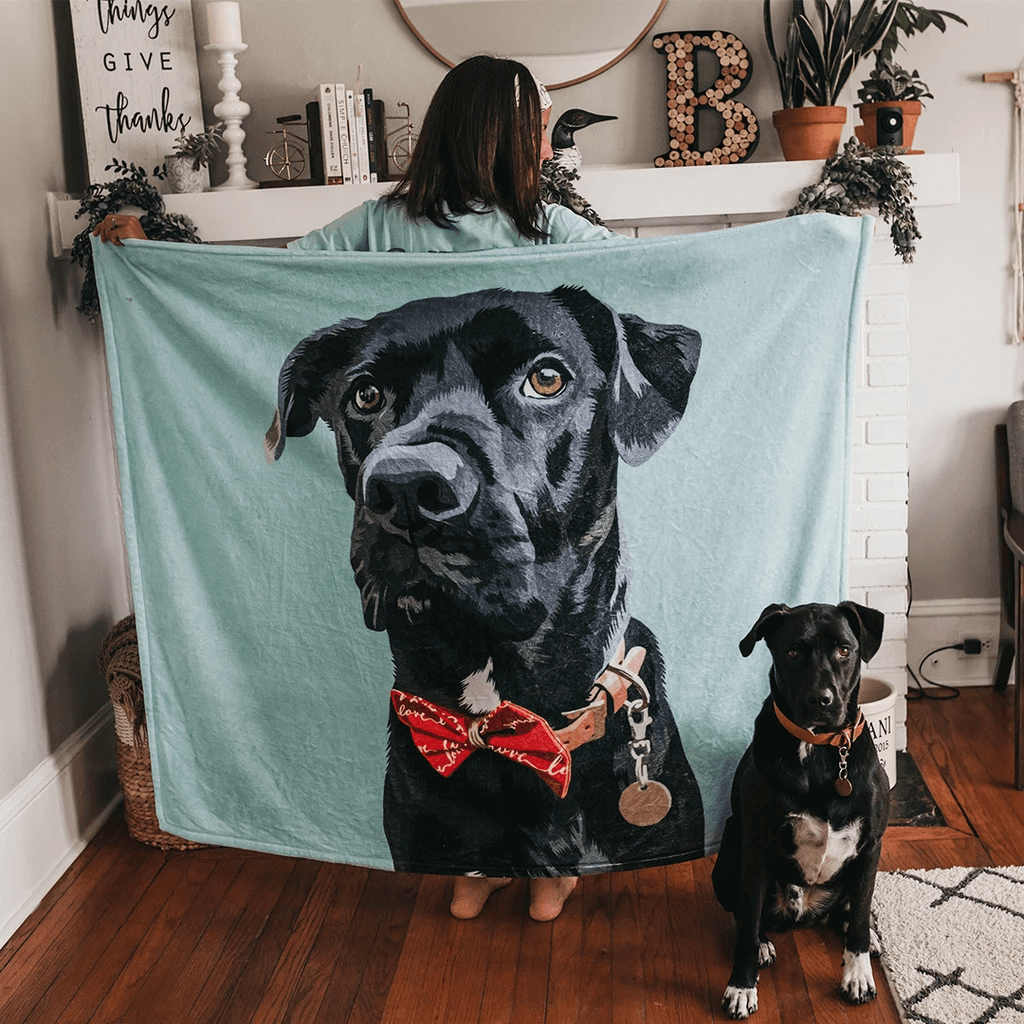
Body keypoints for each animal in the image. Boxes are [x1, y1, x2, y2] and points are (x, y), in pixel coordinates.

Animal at [712, 598, 888, 1015]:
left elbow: (860, 916)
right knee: (745, 915)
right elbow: (746, 925)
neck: (820, 748)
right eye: (792, 652)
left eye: (844, 650)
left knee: (851, 909)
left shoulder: (871, 846)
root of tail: (803, 912)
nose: (820, 700)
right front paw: (741, 986)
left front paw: (857, 974)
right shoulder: (756, 847)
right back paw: (762, 943)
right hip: (730, 845)